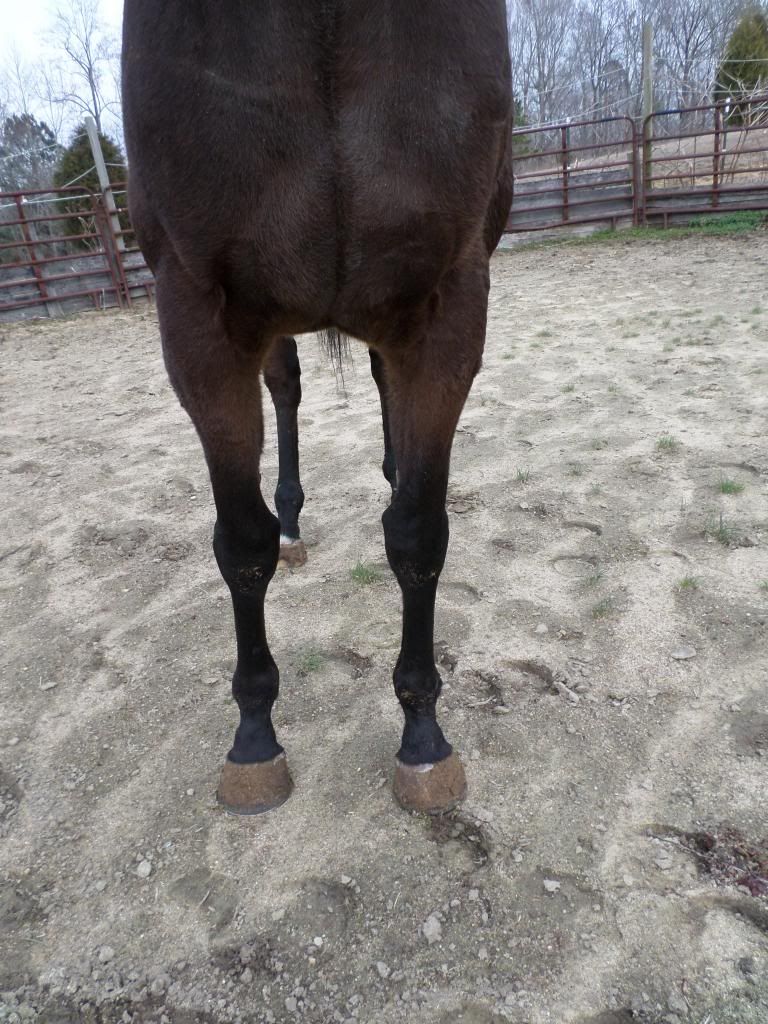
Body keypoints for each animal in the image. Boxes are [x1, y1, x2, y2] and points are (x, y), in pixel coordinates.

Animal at [122, 0, 513, 815]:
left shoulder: (450, 308)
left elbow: (418, 534)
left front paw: (424, 739)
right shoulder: (198, 321)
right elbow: (242, 543)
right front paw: (254, 741)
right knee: (288, 391)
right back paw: (294, 522)